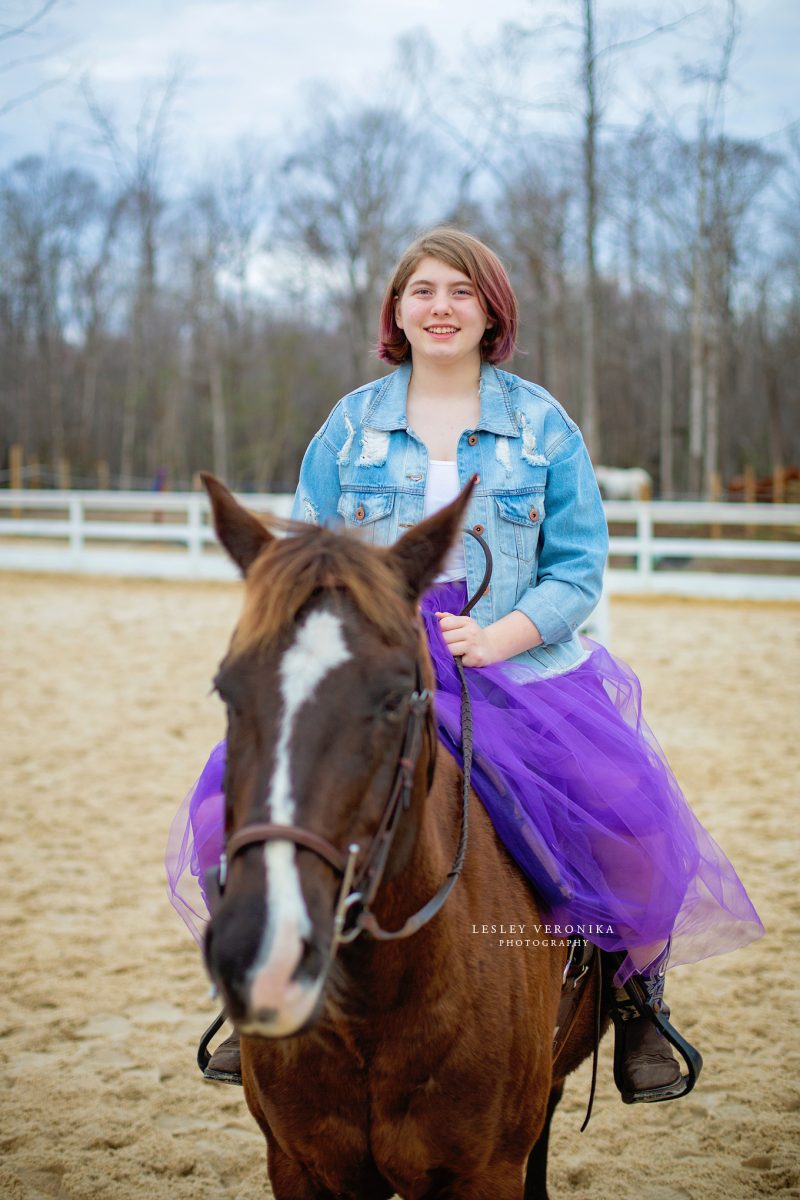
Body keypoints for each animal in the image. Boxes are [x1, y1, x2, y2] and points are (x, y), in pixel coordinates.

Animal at [201, 472, 606, 1195]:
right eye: (227, 689)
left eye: (393, 699)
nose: (263, 953)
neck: (377, 1001)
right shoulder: (297, 1163)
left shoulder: (487, 1171)